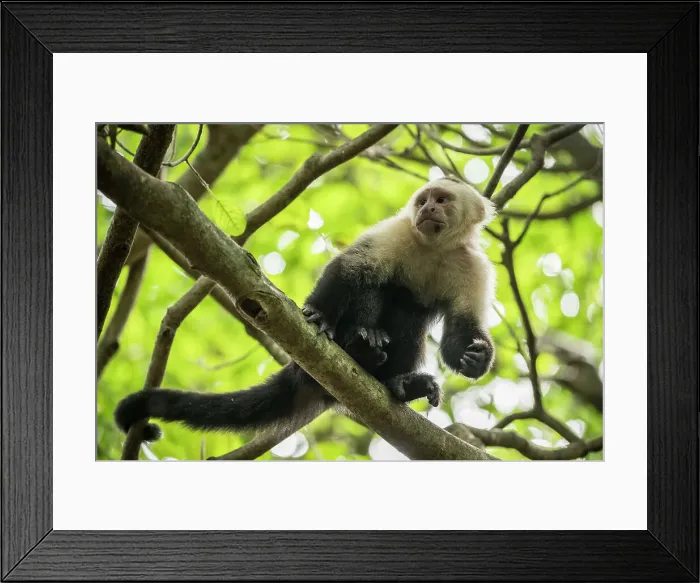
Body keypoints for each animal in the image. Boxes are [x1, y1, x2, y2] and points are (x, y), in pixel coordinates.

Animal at [115, 177, 497, 443]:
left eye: (442, 200)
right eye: (423, 200)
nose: (427, 209)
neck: (435, 248)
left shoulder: (472, 265)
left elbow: (460, 330)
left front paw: (475, 358)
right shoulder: (399, 230)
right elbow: (350, 269)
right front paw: (319, 315)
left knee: (411, 321)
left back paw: (398, 383)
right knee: (374, 287)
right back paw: (360, 345)